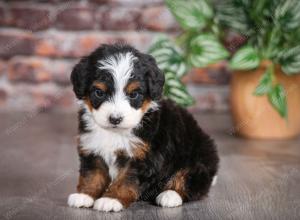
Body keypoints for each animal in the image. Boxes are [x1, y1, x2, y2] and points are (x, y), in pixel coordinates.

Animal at [67, 43, 218, 211]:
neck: (115, 133)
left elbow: (126, 179)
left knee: (190, 180)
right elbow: (92, 175)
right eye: (99, 92)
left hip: (197, 158)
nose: (115, 119)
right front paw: (84, 195)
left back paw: (169, 195)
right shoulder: (92, 148)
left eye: (133, 94)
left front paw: (111, 199)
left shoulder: (142, 156)